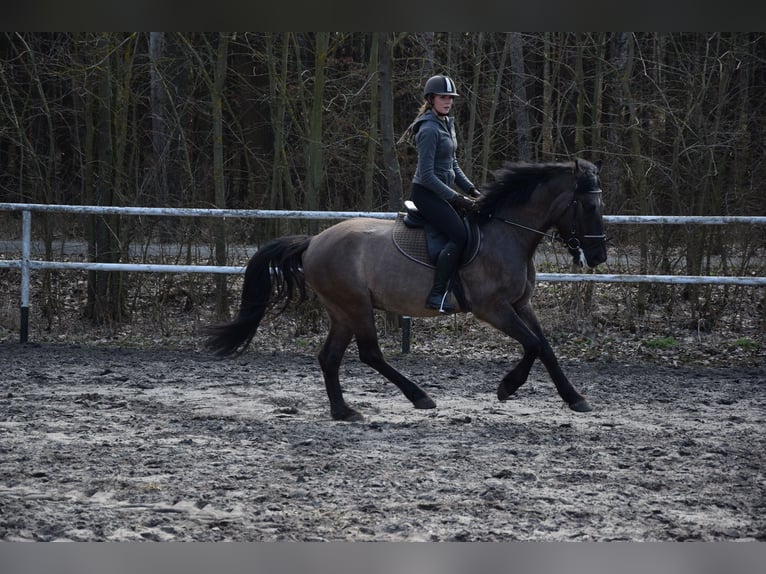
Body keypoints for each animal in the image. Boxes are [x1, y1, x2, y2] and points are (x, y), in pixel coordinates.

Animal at [204, 159, 607, 422]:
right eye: (589, 205)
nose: (599, 256)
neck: (507, 233)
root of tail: (313, 241)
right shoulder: (493, 308)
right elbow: (534, 345)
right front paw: (507, 387)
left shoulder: (520, 305)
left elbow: (546, 348)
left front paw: (575, 399)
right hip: (356, 306)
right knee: (369, 354)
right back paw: (419, 397)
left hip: (342, 311)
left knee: (329, 357)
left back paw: (344, 411)